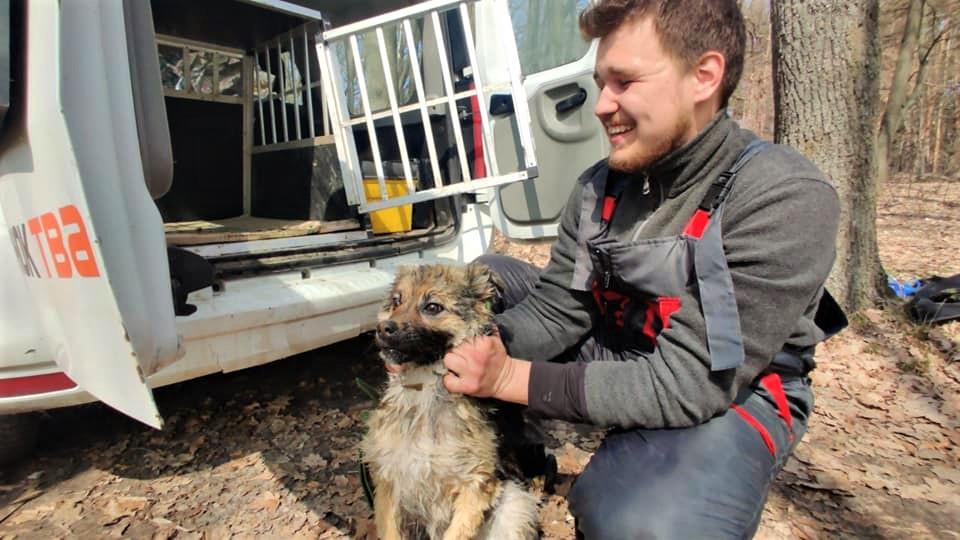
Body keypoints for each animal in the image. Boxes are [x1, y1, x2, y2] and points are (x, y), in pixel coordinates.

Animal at [360, 264, 540, 540]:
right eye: (397, 301)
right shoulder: (388, 480)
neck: (425, 389)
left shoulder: (476, 484)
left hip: (514, 507)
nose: (382, 329)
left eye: (433, 307)